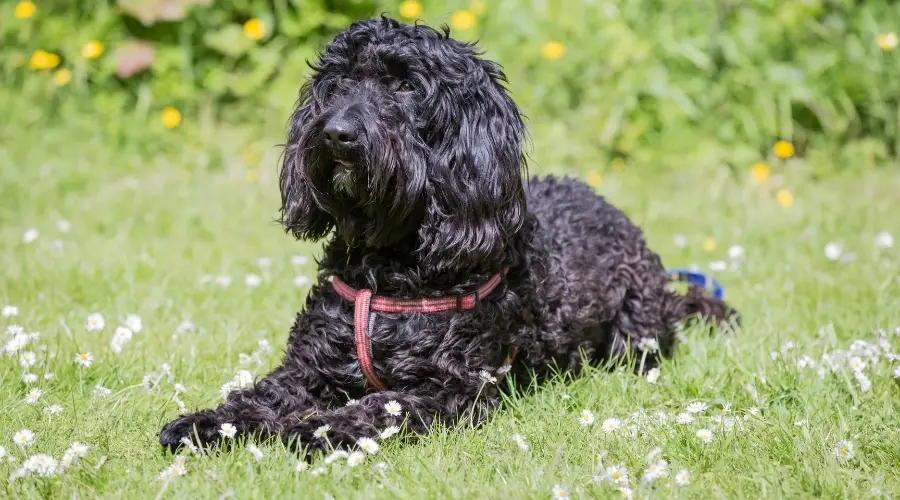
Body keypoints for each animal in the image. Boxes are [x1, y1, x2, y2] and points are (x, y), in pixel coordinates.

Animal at [162, 16, 740, 454]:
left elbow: (380, 403)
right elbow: (257, 396)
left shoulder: (450, 388)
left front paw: (322, 427)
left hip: (635, 336)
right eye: (338, 84)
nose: (336, 133)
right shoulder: (309, 368)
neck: (389, 266)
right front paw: (206, 422)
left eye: (405, 86)